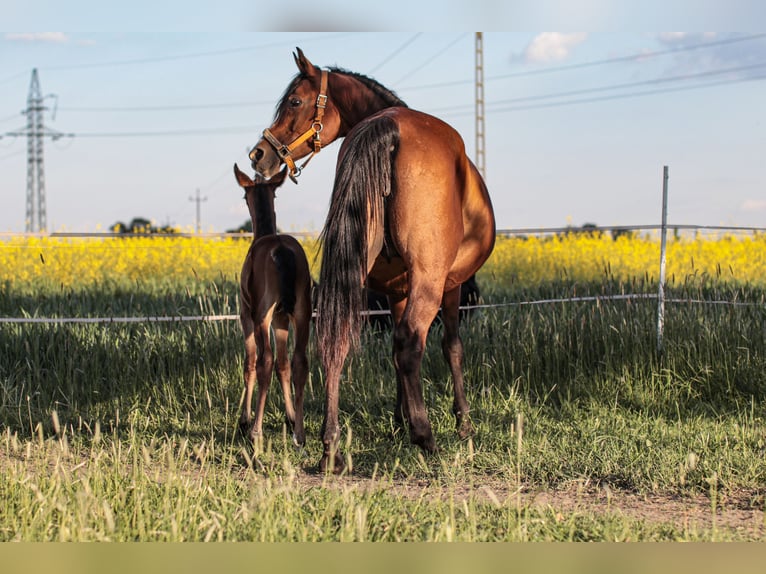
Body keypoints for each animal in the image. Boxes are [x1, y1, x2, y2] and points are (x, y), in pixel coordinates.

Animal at [232, 163, 313, 447]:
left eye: (244, 195)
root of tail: (281, 252)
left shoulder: (246, 313)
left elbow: (250, 362)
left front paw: (244, 419)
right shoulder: (281, 317)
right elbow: (284, 364)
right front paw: (291, 416)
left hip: (262, 313)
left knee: (263, 360)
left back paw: (256, 431)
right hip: (302, 310)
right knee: (299, 361)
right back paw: (300, 433)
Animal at [250, 48, 496, 473]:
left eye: (294, 102)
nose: (259, 154)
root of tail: (388, 127)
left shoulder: (396, 291)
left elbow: (395, 353)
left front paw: (399, 419)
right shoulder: (449, 285)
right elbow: (451, 346)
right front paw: (460, 421)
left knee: (336, 341)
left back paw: (329, 445)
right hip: (430, 281)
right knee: (411, 343)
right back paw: (426, 437)